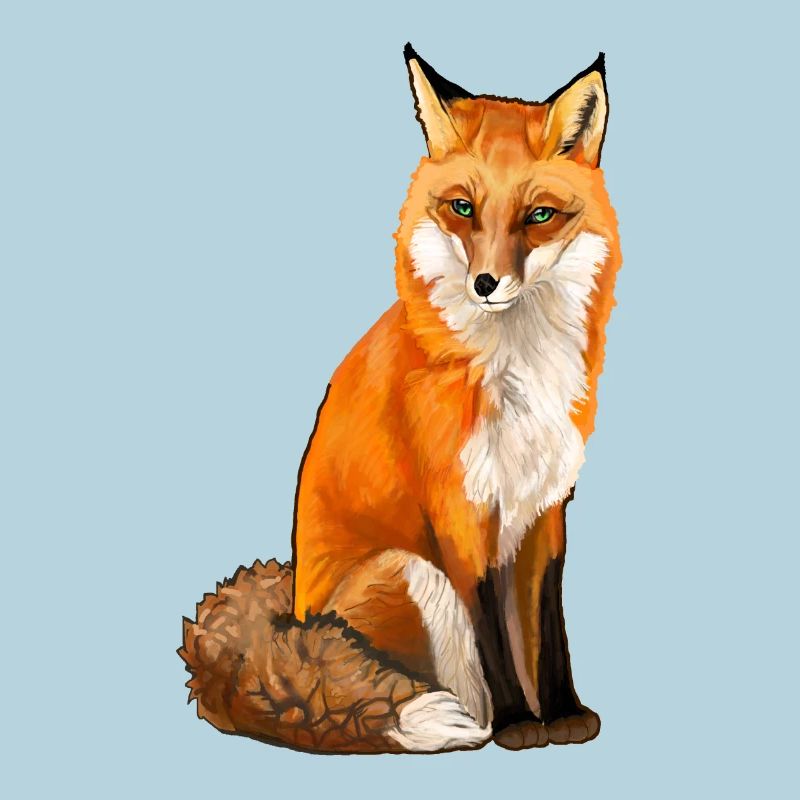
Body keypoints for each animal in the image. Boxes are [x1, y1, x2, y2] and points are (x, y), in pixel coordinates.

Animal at [181, 44, 622, 755]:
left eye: (539, 216)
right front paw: (521, 724)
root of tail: (290, 616)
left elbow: (548, 627)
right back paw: (471, 722)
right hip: (411, 570)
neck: (515, 370)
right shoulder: (459, 511)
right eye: (463, 208)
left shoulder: (545, 507)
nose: (486, 283)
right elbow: (494, 635)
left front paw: (563, 712)